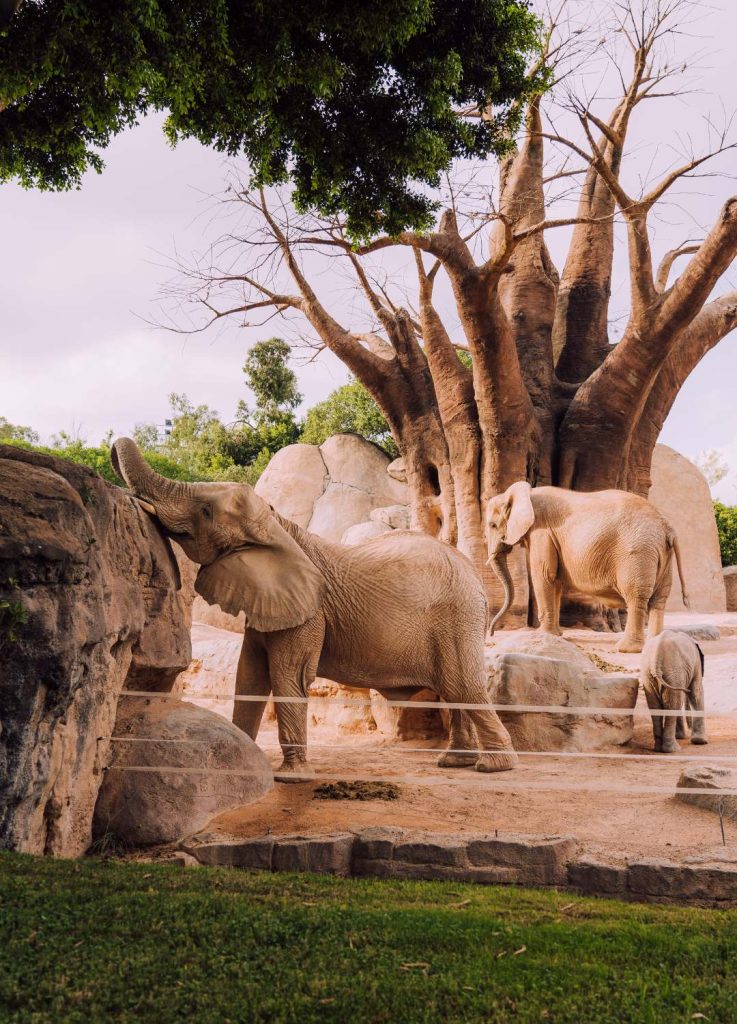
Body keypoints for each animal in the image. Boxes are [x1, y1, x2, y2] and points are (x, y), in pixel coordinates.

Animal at [113, 434, 517, 774]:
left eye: (206, 512)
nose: (116, 445)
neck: (278, 525)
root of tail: (474, 576)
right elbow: (250, 675)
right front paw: (242, 762)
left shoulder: (308, 614)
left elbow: (287, 676)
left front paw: (289, 775)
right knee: (454, 690)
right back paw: (454, 762)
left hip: (457, 616)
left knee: (464, 687)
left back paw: (493, 766)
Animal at [487, 481, 687, 655]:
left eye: (493, 525)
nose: (491, 633)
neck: (525, 493)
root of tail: (668, 528)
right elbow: (555, 581)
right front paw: (556, 636)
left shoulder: (541, 532)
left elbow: (544, 575)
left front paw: (541, 635)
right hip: (661, 554)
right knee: (659, 599)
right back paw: (656, 644)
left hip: (638, 553)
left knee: (636, 597)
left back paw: (626, 649)